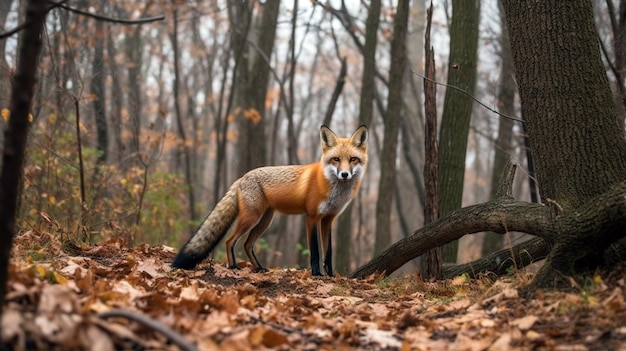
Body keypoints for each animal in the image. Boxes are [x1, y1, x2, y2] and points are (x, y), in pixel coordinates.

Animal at [171, 125, 366, 276]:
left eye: (353, 159)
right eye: (336, 159)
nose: (345, 174)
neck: (331, 187)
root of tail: (242, 177)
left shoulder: (328, 219)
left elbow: (328, 252)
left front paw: (331, 275)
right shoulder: (311, 217)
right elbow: (315, 251)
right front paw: (317, 274)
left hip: (265, 221)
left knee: (247, 244)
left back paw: (259, 268)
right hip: (251, 218)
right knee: (230, 241)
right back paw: (233, 266)